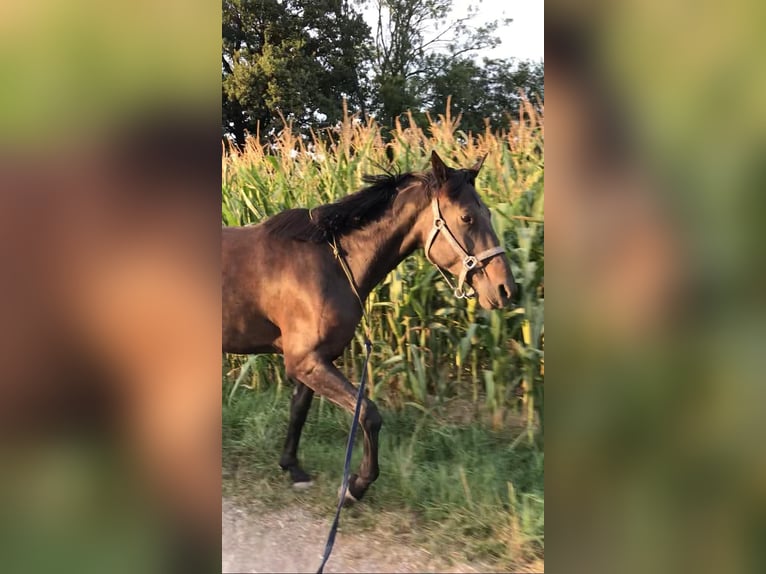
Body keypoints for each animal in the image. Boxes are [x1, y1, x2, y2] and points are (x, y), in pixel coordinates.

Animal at [222, 151, 516, 502]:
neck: (331, 263)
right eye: (467, 217)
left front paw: (293, 467)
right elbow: (368, 413)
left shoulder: (315, 359)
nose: (505, 289)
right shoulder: (306, 361)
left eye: (488, 212)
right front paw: (356, 486)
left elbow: (299, 409)